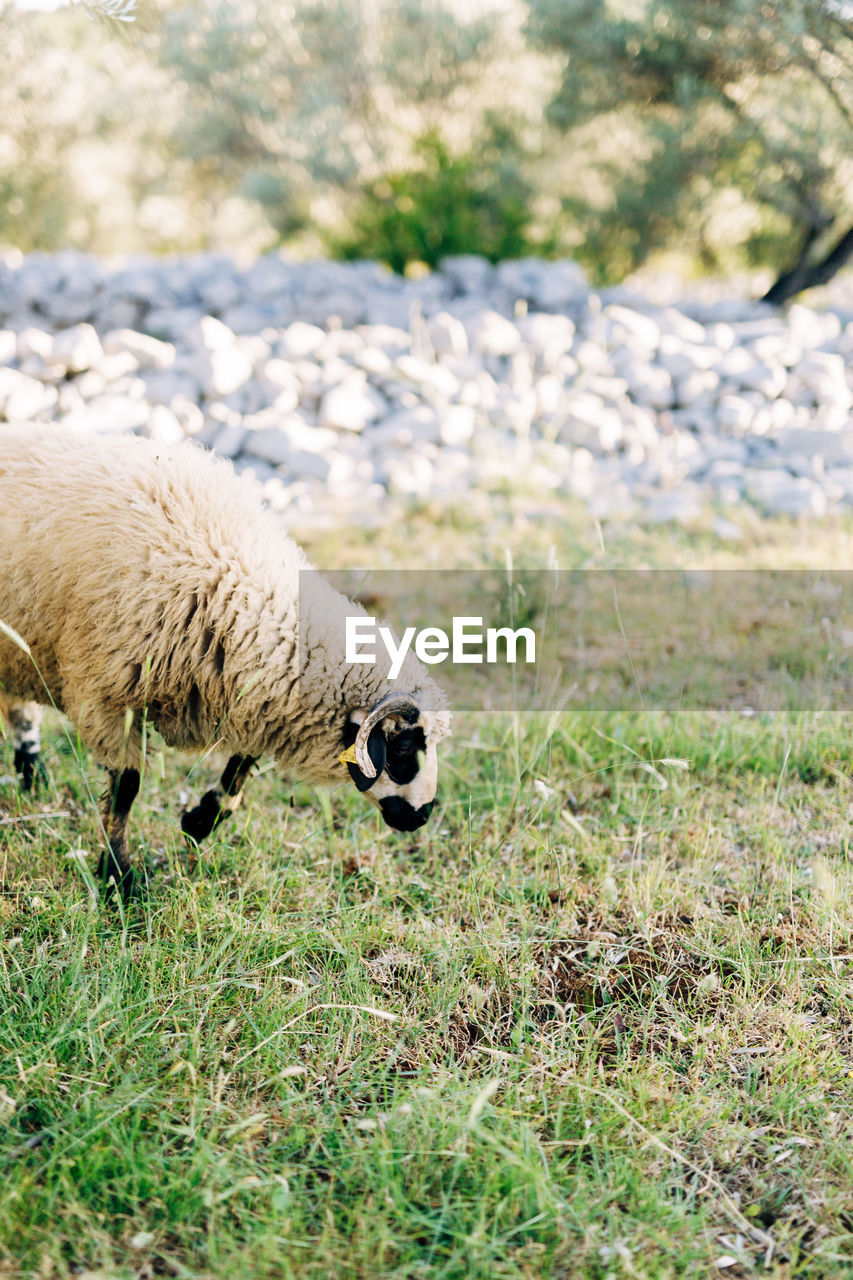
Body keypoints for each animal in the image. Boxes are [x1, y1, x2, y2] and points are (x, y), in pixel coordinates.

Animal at [0, 424, 450, 896]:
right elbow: (126, 788)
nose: (422, 816)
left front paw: (200, 820)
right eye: (403, 746)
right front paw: (119, 878)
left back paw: (32, 775)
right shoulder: (107, 699)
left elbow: (240, 766)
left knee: (17, 706)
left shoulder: (255, 696)